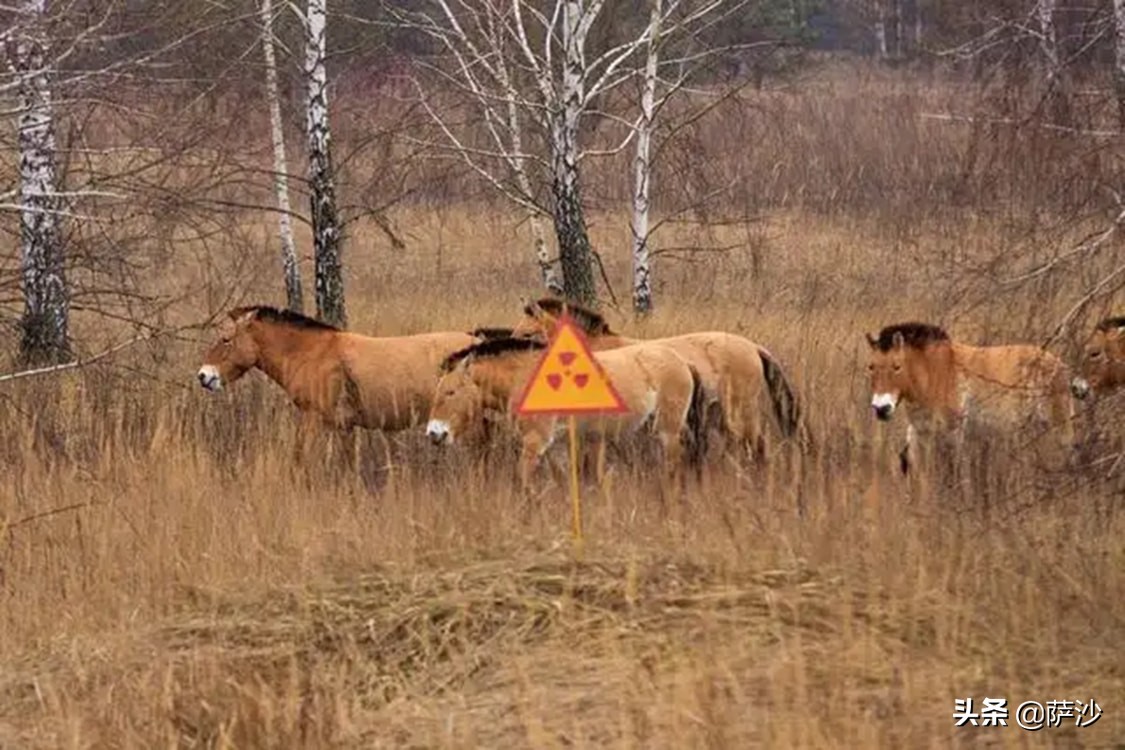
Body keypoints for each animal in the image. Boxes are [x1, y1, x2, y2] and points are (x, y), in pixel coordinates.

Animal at [423, 335, 702, 490]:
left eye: (450, 392)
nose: (434, 434)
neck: (526, 376)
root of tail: (682, 361)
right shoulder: (555, 447)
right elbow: (561, 481)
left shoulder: (535, 442)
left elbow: (523, 482)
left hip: (667, 429)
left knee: (674, 466)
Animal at [864, 323, 1075, 474]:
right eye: (871, 366)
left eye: (897, 366)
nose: (881, 408)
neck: (934, 372)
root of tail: (1059, 364)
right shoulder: (922, 434)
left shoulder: (953, 433)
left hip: (1059, 428)